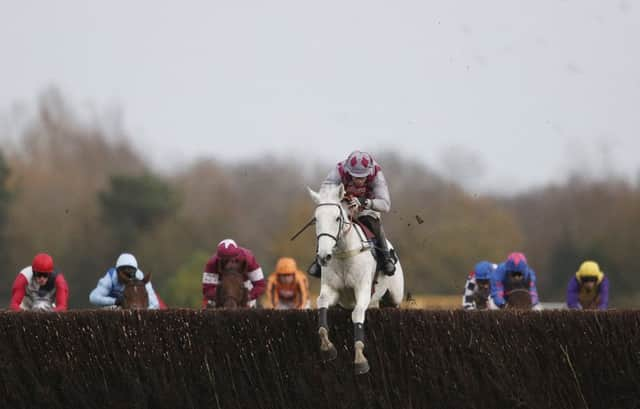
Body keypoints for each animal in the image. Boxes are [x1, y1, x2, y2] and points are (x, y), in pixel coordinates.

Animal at [306, 183, 404, 374]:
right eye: (316, 219)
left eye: (337, 218)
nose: (323, 256)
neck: (344, 254)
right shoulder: (331, 290)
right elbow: (321, 305)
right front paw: (327, 348)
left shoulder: (363, 290)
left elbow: (357, 314)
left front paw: (360, 359)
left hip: (394, 297)